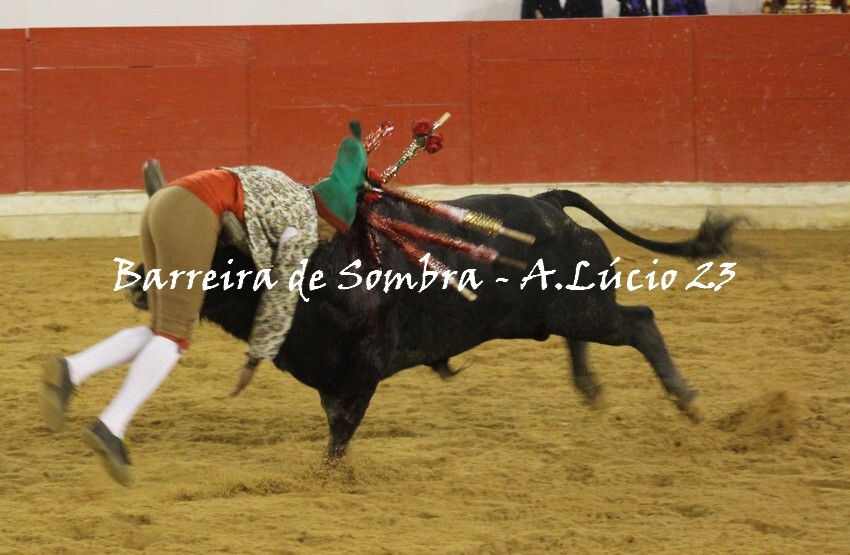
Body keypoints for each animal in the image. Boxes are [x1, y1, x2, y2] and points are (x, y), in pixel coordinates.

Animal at [127, 188, 737, 460]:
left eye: (200, 248)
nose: (136, 281)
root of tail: (547, 202)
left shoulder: (366, 363)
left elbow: (342, 426)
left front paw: (326, 477)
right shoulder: (331, 373)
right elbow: (335, 420)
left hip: (587, 308)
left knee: (640, 324)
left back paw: (686, 399)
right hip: (565, 308)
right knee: (588, 336)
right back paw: (590, 388)